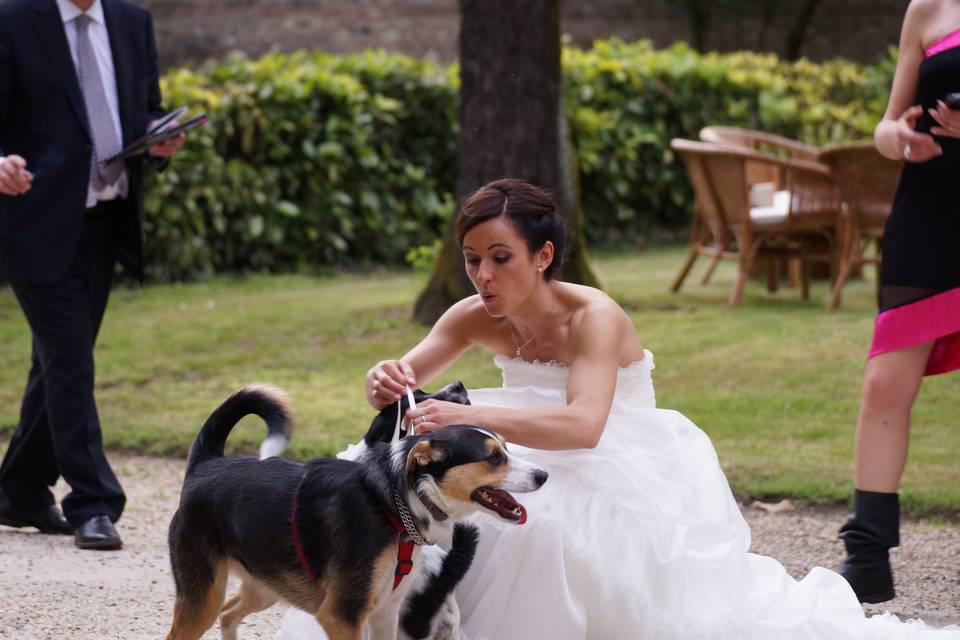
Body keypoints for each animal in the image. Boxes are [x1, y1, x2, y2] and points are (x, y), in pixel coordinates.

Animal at [161, 384, 544, 640]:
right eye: (493, 457)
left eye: (506, 448)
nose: (543, 475)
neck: (392, 503)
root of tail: (207, 463)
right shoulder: (342, 616)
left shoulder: (386, 613)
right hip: (202, 598)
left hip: (266, 585)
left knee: (229, 614)